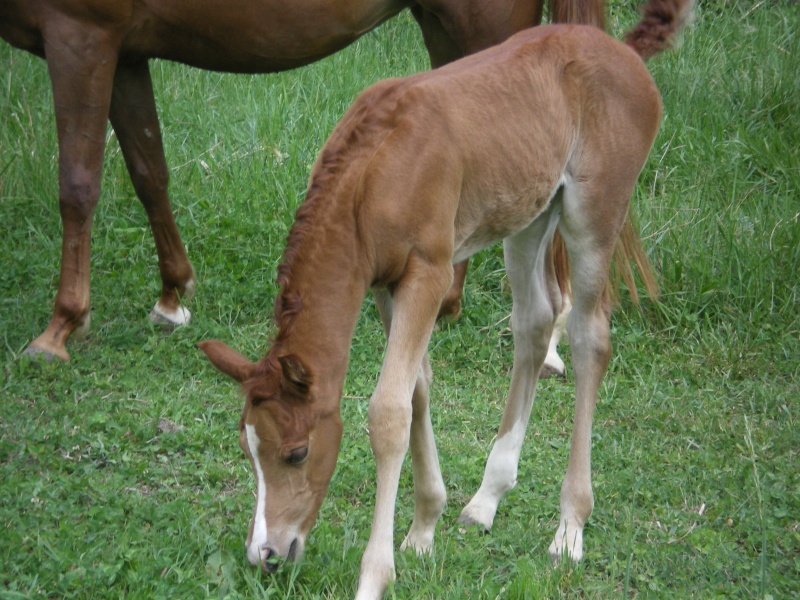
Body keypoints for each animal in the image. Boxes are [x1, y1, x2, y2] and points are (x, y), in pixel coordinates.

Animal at [0, 0, 600, 360]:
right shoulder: (126, 53)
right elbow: (149, 171)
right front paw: (172, 295)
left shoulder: (80, 36)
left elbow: (78, 187)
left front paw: (59, 327)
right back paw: (455, 303)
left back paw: (549, 332)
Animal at [202, 2, 692, 596]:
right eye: (246, 448)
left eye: (296, 453)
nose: (266, 554)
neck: (372, 174)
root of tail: (623, 50)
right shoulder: (386, 285)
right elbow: (417, 387)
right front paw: (423, 529)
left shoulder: (428, 274)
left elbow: (389, 410)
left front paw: (375, 575)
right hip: (528, 214)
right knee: (533, 322)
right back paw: (486, 499)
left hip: (594, 211)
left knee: (588, 339)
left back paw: (570, 527)